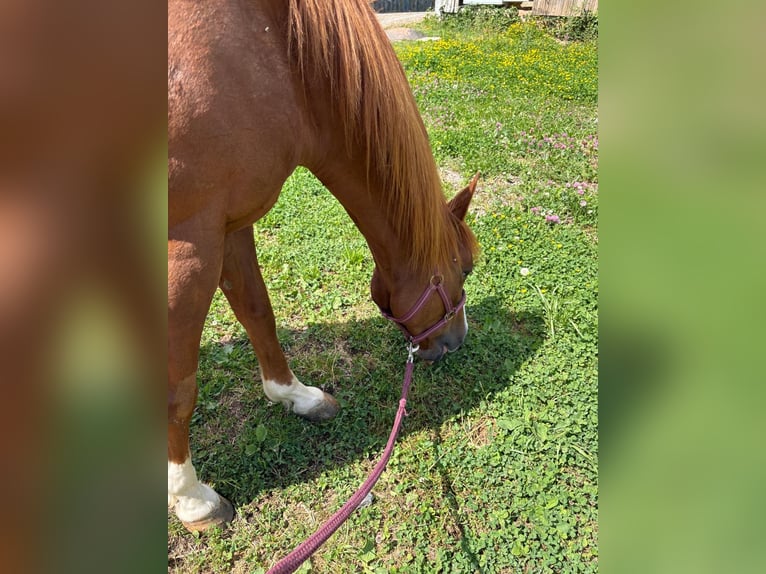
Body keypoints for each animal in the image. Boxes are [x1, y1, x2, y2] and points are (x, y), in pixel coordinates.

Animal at [168, 0, 479, 532]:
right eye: (467, 269)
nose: (455, 342)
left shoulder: (230, 221)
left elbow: (259, 313)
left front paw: (296, 396)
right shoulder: (188, 244)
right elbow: (177, 388)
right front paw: (193, 500)